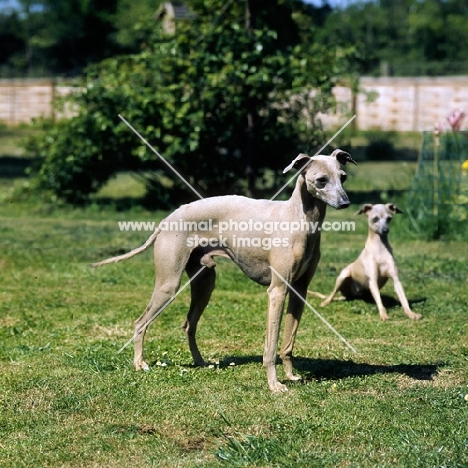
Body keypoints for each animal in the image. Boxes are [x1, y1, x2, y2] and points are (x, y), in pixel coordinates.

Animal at [90, 150, 354, 392]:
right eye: (321, 180)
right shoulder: (277, 290)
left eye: (343, 177)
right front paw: (274, 384)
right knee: (140, 322)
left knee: (188, 324)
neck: (298, 219)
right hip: (169, 285)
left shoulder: (299, 290)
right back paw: (140, 364)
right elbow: (271, 345)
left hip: (205, 282)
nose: (346, 203)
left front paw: (290, 376)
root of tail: (167, 219)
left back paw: (200, 362)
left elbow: (288, 342)